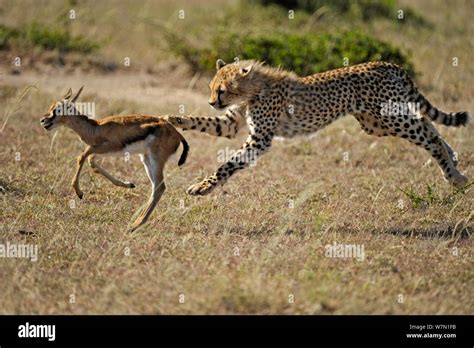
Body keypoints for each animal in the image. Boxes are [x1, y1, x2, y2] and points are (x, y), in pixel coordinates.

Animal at [166, 59, 466, 196]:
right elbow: (206, 123)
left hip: (388, 118)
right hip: (377, 123)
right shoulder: (231, 123)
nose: (211, 101)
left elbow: (227, 164)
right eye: (211, 88)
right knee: (427, 125)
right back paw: (454, 164)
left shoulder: (260, 139)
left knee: (428, 135)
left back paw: (453, 175)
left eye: (223, 90)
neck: (254, 89)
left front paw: (203, 187)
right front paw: (175, 119)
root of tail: (384, 62)